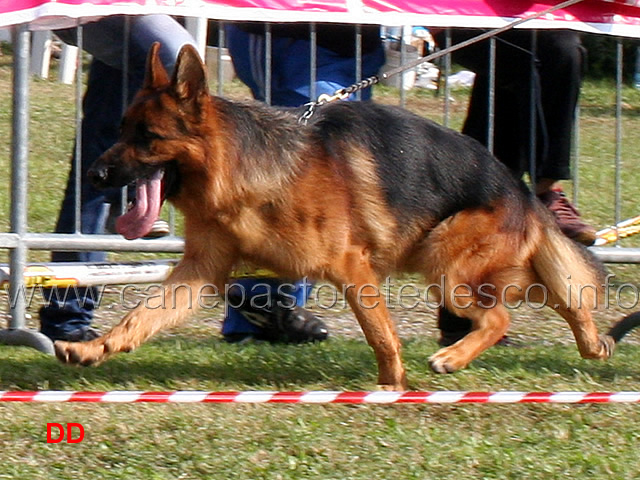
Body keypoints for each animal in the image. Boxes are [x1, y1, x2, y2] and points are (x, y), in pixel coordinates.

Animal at [56, 43, 640, 390]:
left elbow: (382, 333)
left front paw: (391, 387)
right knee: (562, 304)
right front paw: (94, 348)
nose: (94, 175)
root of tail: (522, 192)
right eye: (122, 129)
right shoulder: (198, 274)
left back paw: (453, 358)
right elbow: (140, 317)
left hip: (446, 264)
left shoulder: (351, 266)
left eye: (147, 137)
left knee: (499, 318)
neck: (243, 167)